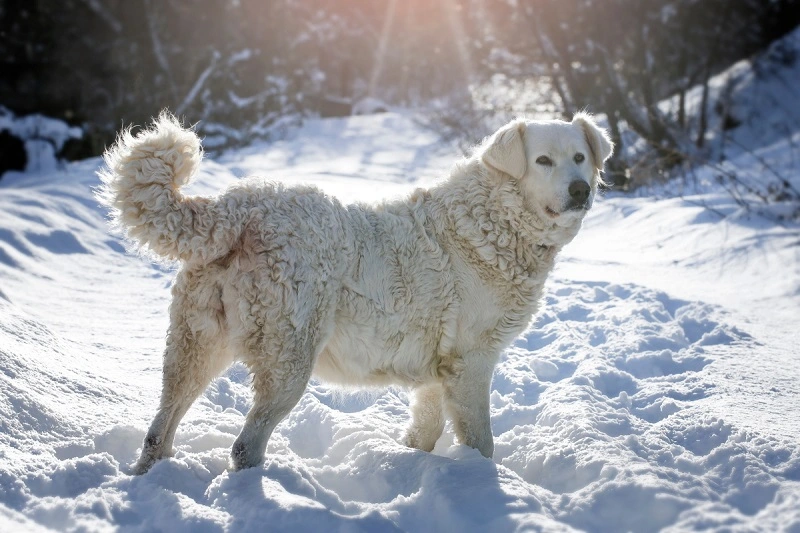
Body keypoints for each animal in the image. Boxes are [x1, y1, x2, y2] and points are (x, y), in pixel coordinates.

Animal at [98, 110, 612, 472]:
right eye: (543, 160)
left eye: (580, 157)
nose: (580, 189)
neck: (496, 219)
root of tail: (237, 206)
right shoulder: (472, 362)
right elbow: (481, 440)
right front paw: (481, 485)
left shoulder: (437, 371)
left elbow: (425, 430)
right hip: (288, 362)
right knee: (245, 446)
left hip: (196, 346)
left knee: (160, 429)